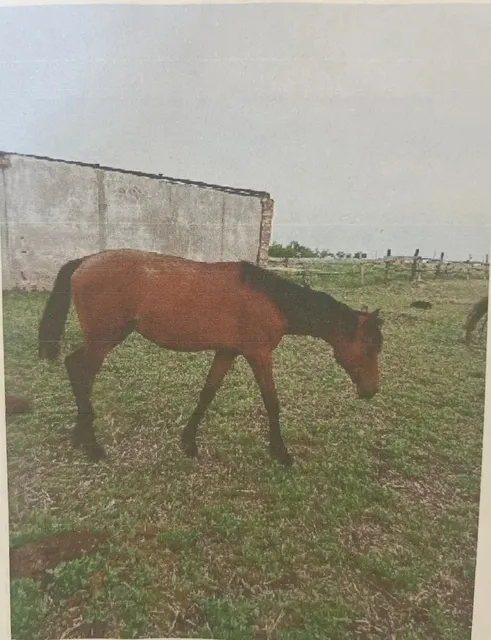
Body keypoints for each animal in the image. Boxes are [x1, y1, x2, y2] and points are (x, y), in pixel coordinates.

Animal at [38, 249, 383, 466]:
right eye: (371, 346)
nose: (371, 391)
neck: (270, 300)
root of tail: (85, 261)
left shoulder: (227, 352)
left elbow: (207, 393)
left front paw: (189, 442)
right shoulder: (259, 355)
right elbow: (272, 402)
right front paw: (281, 453)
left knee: (76, 370)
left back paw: (80, 437)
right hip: (103, 339)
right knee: (80, 371)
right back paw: (91, 445)